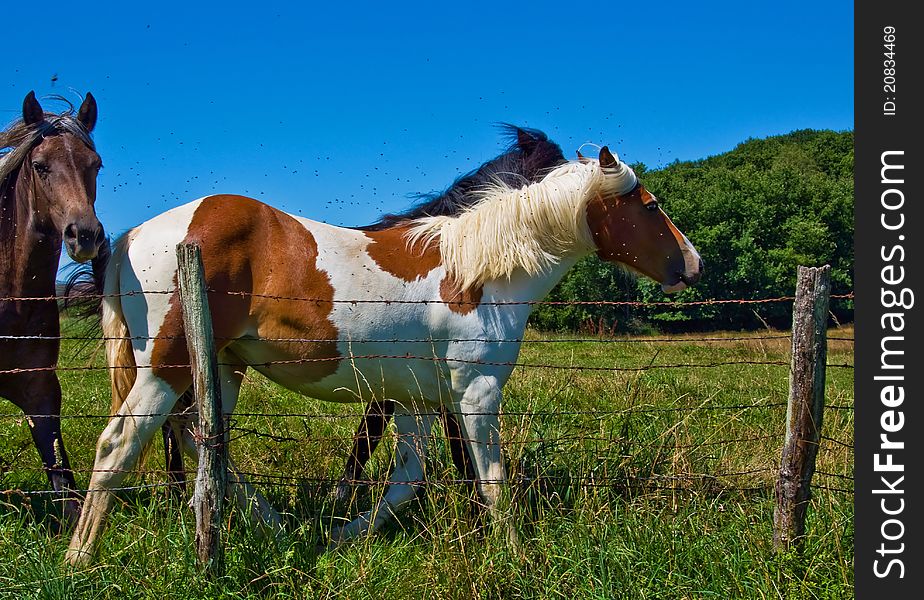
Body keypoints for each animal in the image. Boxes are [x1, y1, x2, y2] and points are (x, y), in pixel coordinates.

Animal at [65, 144, 700, 564]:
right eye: (648, 206)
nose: (691, 264)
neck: (480, 273)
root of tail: (130, 237)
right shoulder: (476, 395)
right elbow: (492, 481)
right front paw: (513, 552)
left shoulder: (417, 402)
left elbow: (405, 483)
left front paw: (342, 535)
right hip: (167, 366)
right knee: (118, 445)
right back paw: (80, 557)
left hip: (219, 368)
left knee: (203, 443)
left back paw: (278, 526)